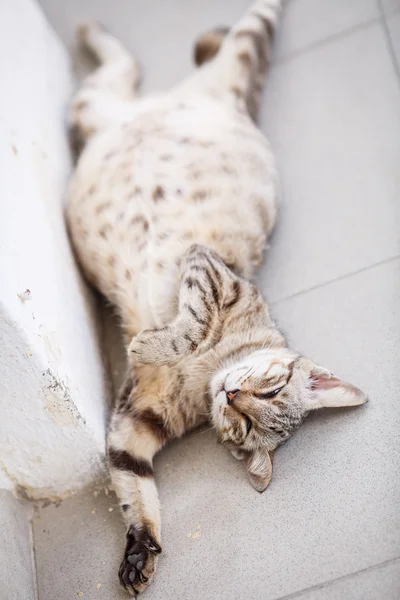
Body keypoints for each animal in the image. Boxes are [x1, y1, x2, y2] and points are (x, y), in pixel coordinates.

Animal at [66, 1, 368, 596]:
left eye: (247, 427)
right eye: (271, 389)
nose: (231, 396)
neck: (205, 375)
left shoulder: (131, 422)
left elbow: (135, 489)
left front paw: (140, 550)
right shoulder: (207, 267)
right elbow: (188, 327)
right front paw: (149, 342)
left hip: (91, 109)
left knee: (119, 73)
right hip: (196, 73)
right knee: (214, 40)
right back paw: (110, 28)